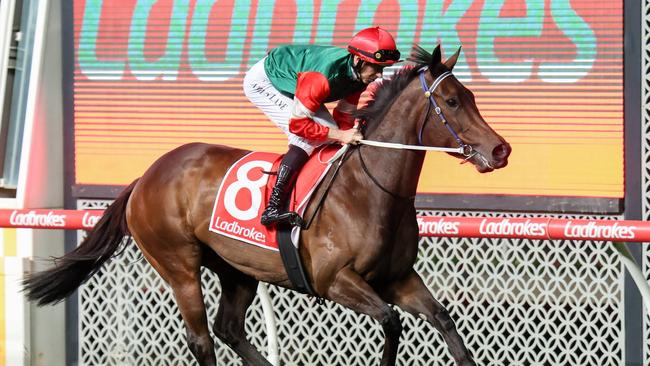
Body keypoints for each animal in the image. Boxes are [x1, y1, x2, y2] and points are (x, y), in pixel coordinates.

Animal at [24, 45, 512, 366]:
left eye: (473, 97)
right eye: (452, 101)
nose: (501, 150)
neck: (369, 189)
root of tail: (147, 175)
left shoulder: (398, 278)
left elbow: (445, 322)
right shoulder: (335, 280)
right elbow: (391, 323)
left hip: (236, 268)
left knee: (229, 329)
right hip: (178, 264)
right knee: (201, 340)